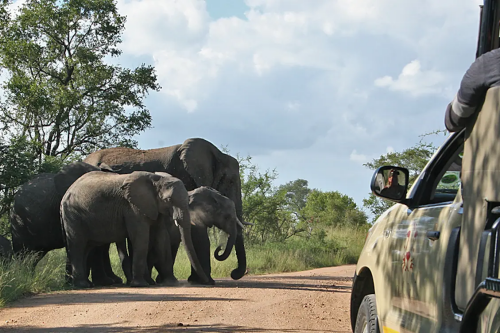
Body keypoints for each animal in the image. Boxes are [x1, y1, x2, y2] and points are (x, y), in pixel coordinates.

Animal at [60, 170, 209, 286]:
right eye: (168, 201)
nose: (208, 282)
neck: (157, 179)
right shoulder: (133, 208)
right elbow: (141, 237)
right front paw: (141, 284)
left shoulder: (154, 207)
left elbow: (161, 238)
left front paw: (171, 283)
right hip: (73, 215)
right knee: (78, 245)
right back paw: (82, 285)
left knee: (86, 247)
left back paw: (85, 284)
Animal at [85, 137, 249, 282]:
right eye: (230, 181)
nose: (234, 273)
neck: (216, 153)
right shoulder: (186, 178)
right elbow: (196, 230)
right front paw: (204, 281)